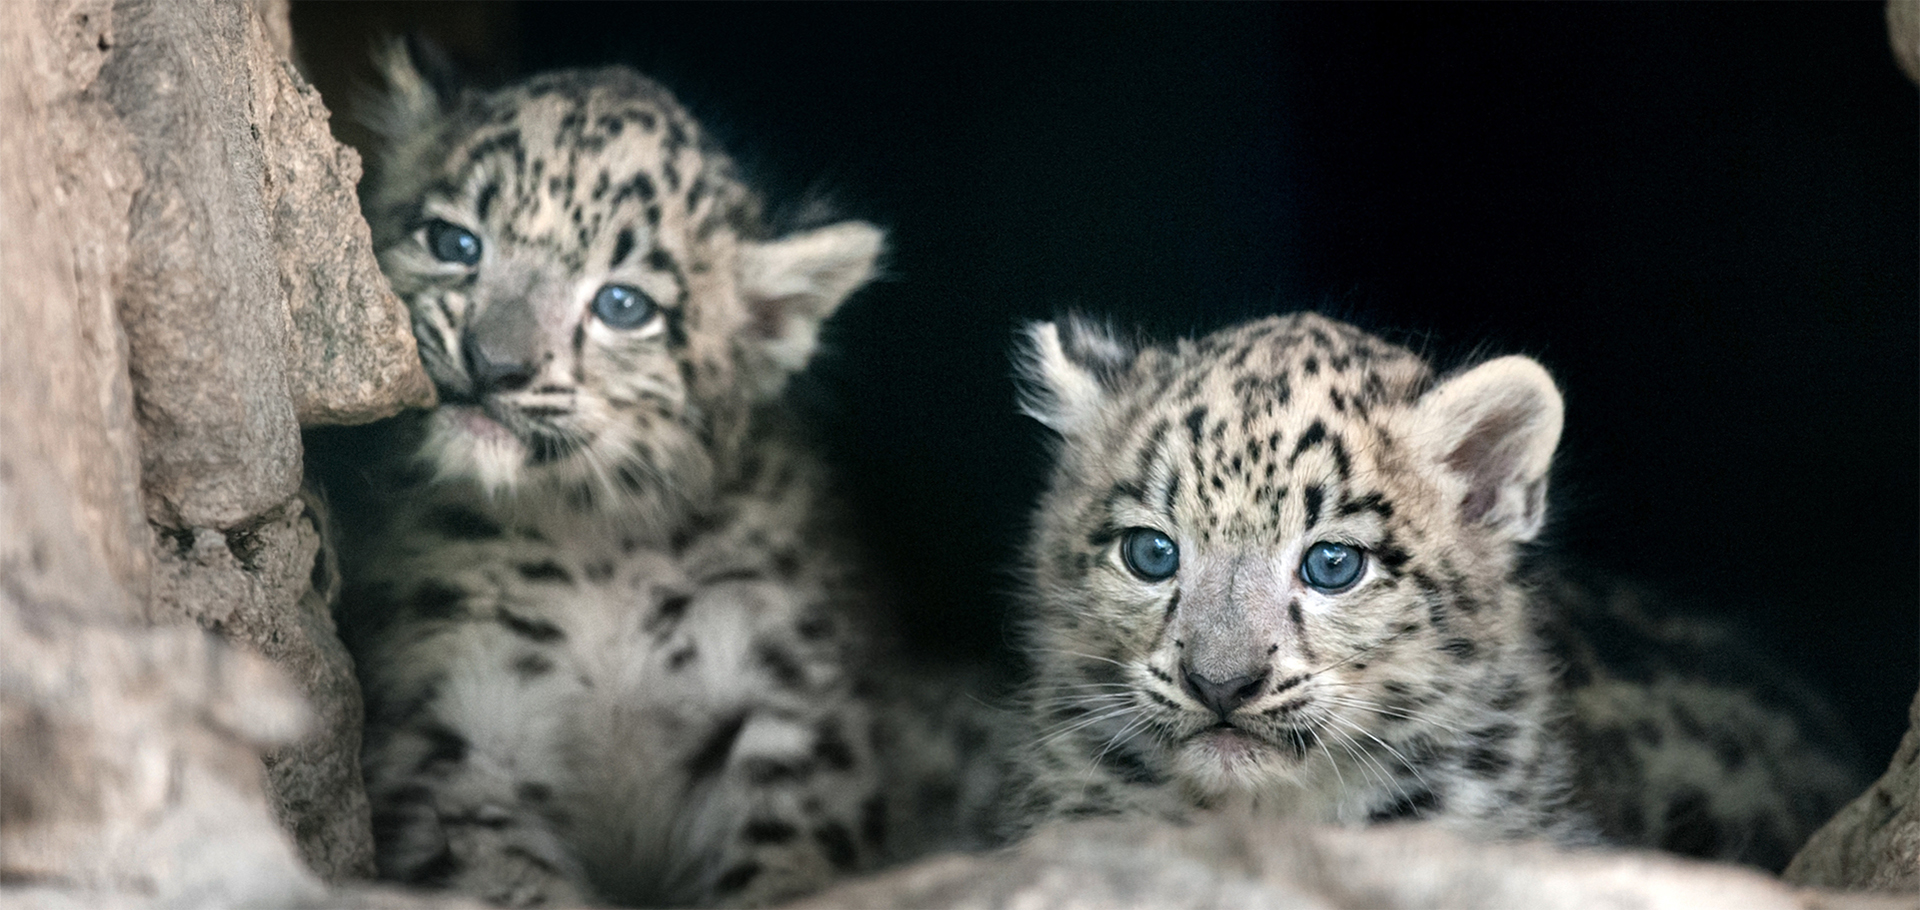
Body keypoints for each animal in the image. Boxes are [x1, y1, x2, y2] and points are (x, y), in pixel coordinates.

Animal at [320, 44, 970, 907]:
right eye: (454, 242)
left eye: (624, 305)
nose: (494, 364)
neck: (594, 551)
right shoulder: (451, 736)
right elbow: (506, 877)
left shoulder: (787, 713)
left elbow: (784, 856)